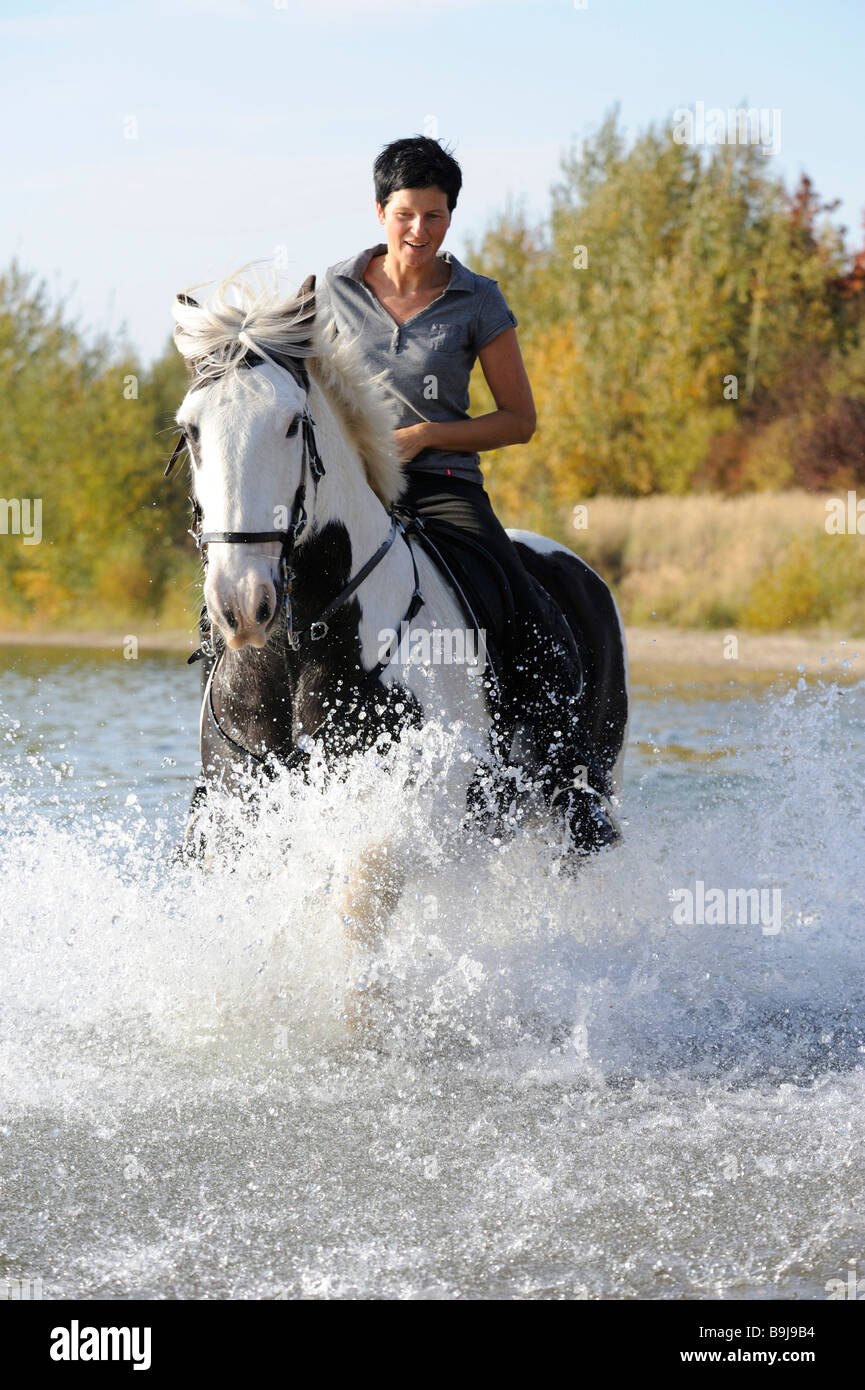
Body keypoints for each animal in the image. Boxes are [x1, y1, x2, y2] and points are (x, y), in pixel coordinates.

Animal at [167, 273, 631, 967]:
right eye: (191, 430)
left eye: (292, 424)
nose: (242, 603)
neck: (302, 648)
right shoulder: (238, 813)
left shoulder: (424, 805)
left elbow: (363, 891)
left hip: (579, 797)